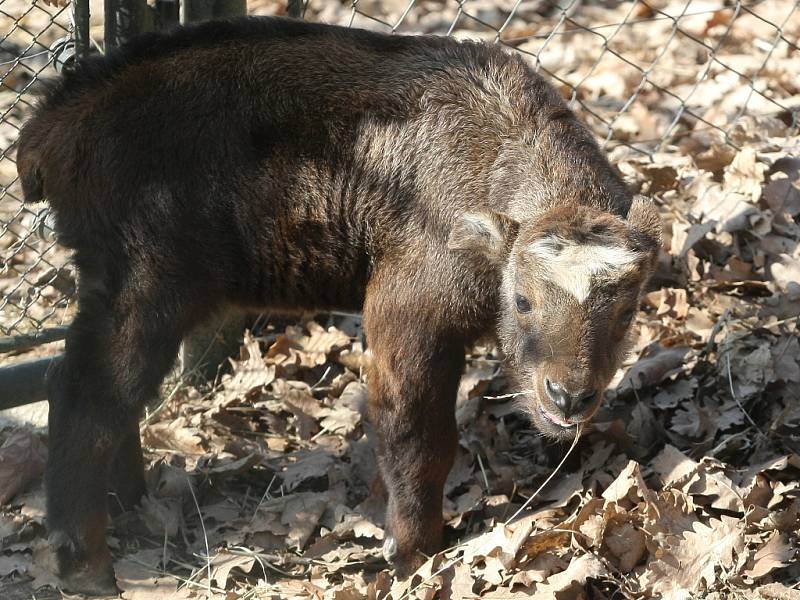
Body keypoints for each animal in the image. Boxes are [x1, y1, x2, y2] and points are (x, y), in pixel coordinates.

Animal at [17, 14, 664, 596]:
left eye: (627, 311)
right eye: (523, 300)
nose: (568, 397)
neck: (493, 166)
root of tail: (48, 130)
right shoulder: (406, 313)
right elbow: (418, 437)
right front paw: (413, 552)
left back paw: (127, 504)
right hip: (146, 284)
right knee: (84, 390)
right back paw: (85, 564)